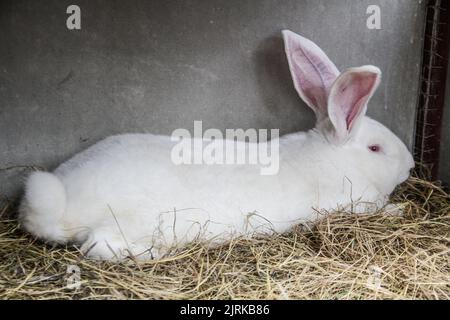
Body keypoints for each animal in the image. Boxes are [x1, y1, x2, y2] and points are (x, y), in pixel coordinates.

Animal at [20, 30, 414, 260]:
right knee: (98, 247)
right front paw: (398, 210)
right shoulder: (350, 203)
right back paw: (150, 254)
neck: (336, 159)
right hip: (133, 223)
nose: (410, 165)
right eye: (376, 149)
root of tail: (64, 204)